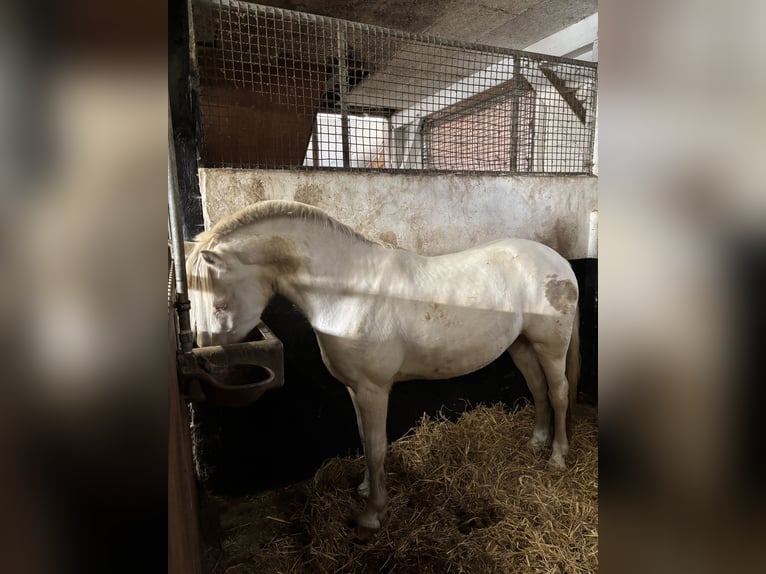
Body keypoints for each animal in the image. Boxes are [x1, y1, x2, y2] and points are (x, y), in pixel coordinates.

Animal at [186, 200, 584, 536]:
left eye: (219, 303)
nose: (210, 361)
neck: (348, 291)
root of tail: (562, 263)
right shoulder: (354, 389)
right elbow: (364, 439)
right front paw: (365, 488)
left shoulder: (373, 389)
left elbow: (377, 445)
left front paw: (373, 513)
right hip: (521, 346)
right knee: (538, 389)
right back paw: (536, 442)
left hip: (550, 347)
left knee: (559, 393)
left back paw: (557, 456)